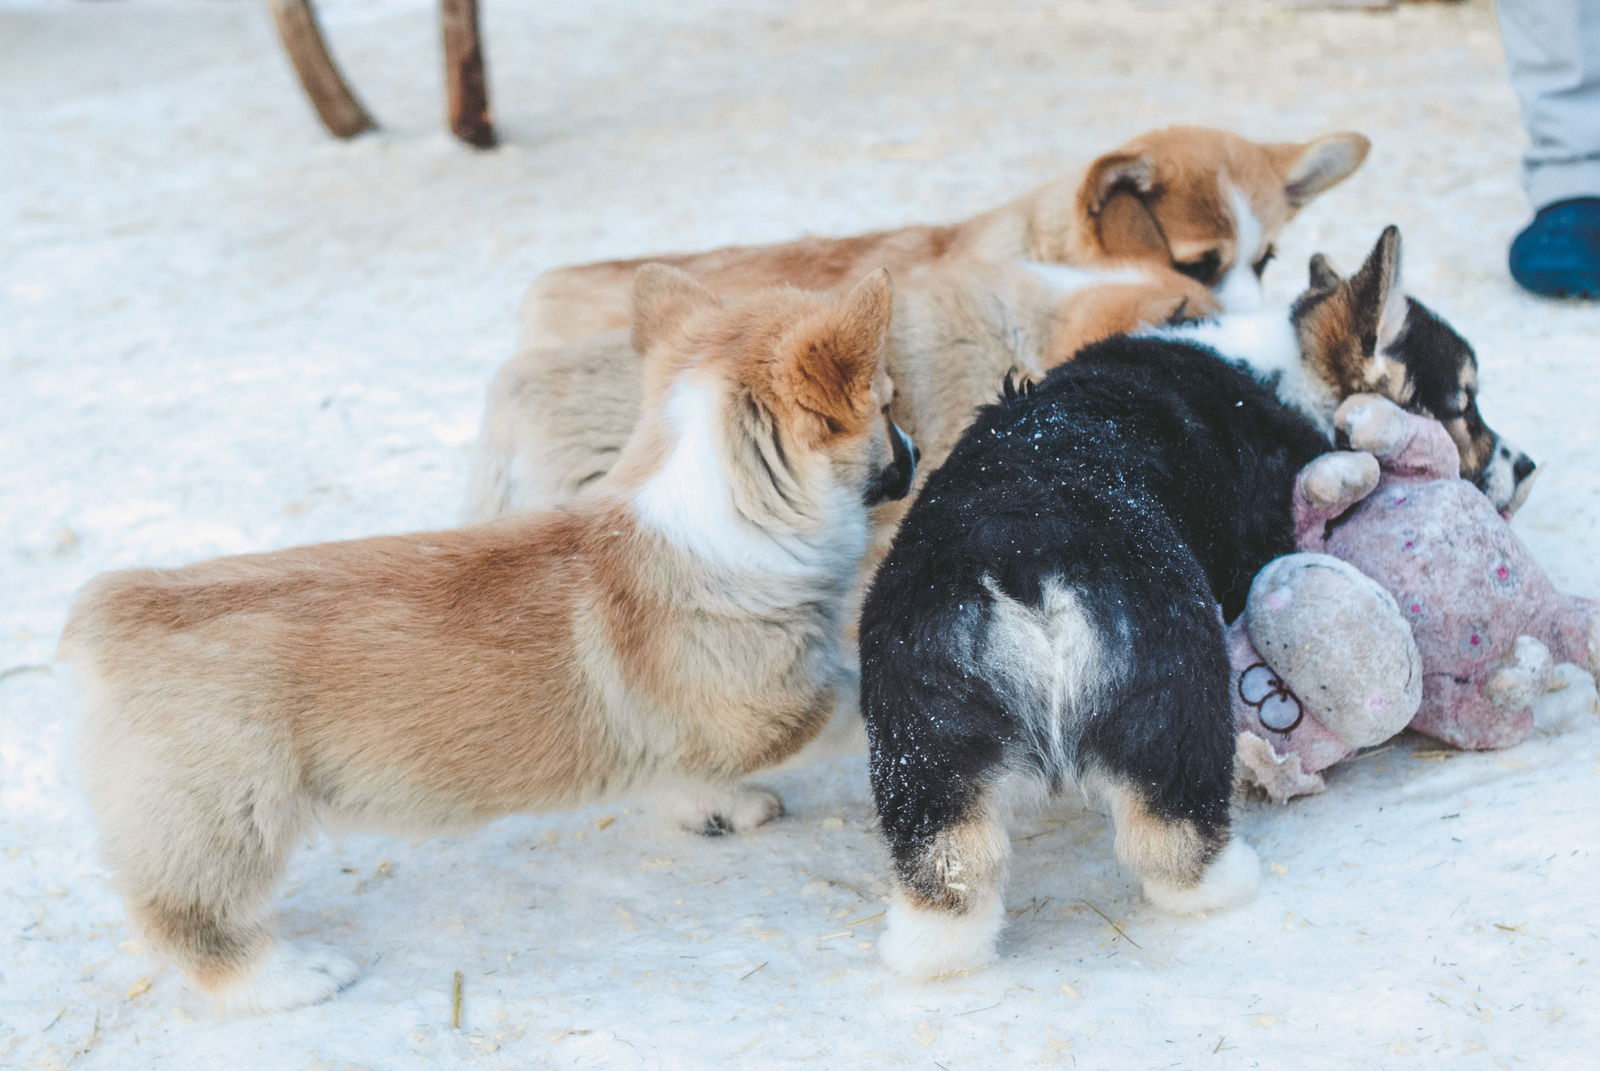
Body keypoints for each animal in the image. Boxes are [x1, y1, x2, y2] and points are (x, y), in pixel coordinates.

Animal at [59, 265, 915, 1011]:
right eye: (887, 405)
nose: (915, 453)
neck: (723, 505)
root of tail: (114, 612)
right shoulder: (776, 701)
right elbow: (850, 698)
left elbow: (681, 766)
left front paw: (716, 808)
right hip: (229, 813)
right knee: (187, 916)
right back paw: (290, 978)